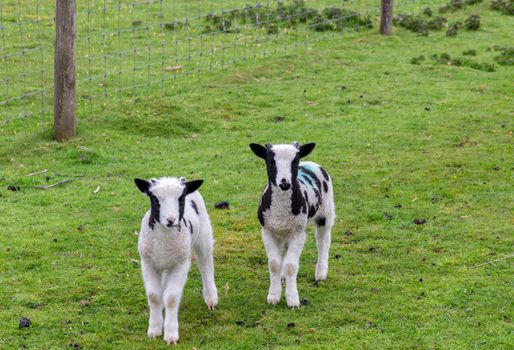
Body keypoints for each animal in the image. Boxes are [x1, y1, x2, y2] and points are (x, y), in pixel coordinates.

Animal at [133, 178, 217, 344]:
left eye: (181, 198)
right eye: (155, 199)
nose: (171, 220)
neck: (164, 241)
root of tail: (181, 177)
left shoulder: (180, 265)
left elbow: (171, 298)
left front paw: (171, 335)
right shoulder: (148, 263)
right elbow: (154, 296)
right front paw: (154, 329)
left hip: (203, 233)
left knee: (205, 263)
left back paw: (211, 298)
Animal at [249, 141, 336, 308]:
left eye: (294, 161)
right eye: (271, 162)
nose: (285, 183)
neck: (281, 210)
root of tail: (310, 162)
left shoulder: (298, 233)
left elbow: (290, 266)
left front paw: (292, 300)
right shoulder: (267, 231)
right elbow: (274, 264)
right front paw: (273, 296)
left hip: (326, 211)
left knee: (323, 241)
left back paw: (321, 273)